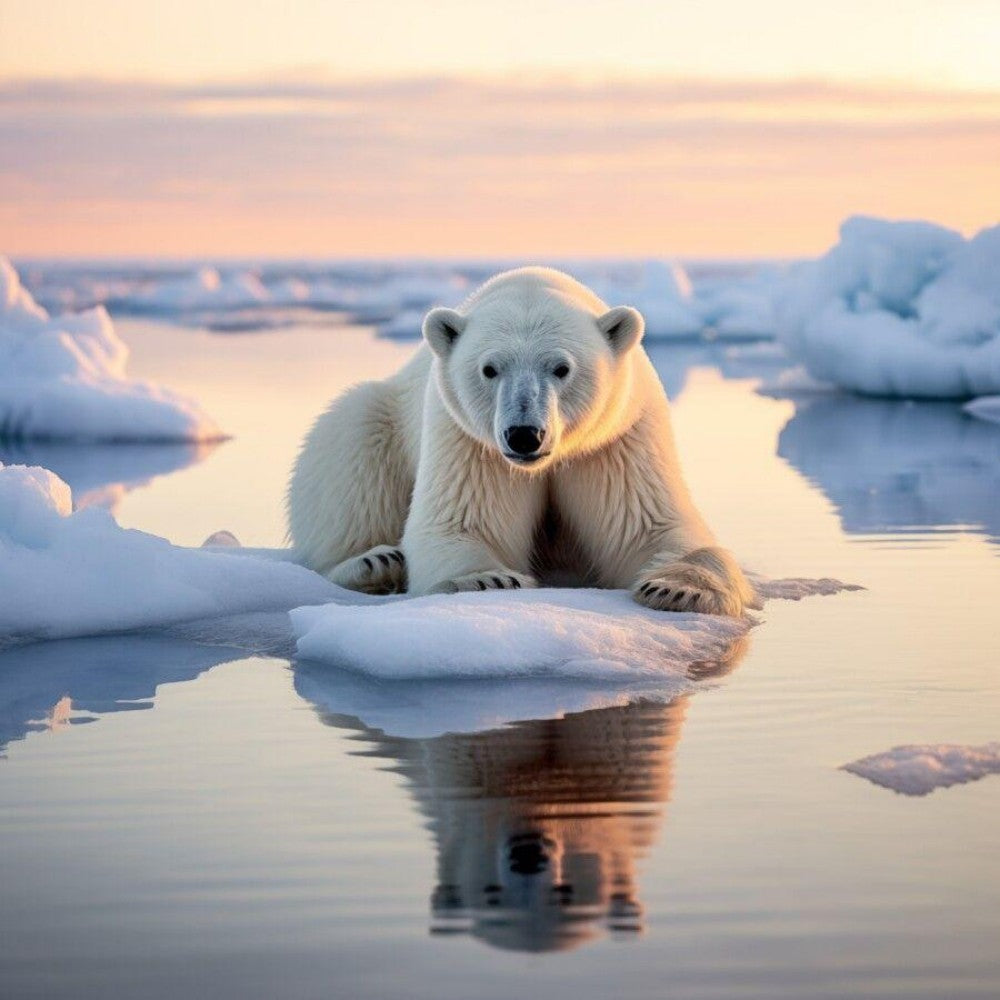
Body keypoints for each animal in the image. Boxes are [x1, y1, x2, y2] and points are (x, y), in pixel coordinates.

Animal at [287, 267, 756, 615]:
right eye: (489, 368)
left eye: (561, 368)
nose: (525, 434)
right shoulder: (468, 441)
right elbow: (459, 521)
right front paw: (486, 579)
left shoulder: (616, 440)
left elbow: (649, 526)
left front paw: (678, 589)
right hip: (379, 418)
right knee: (351, 452)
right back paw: (375, 562)